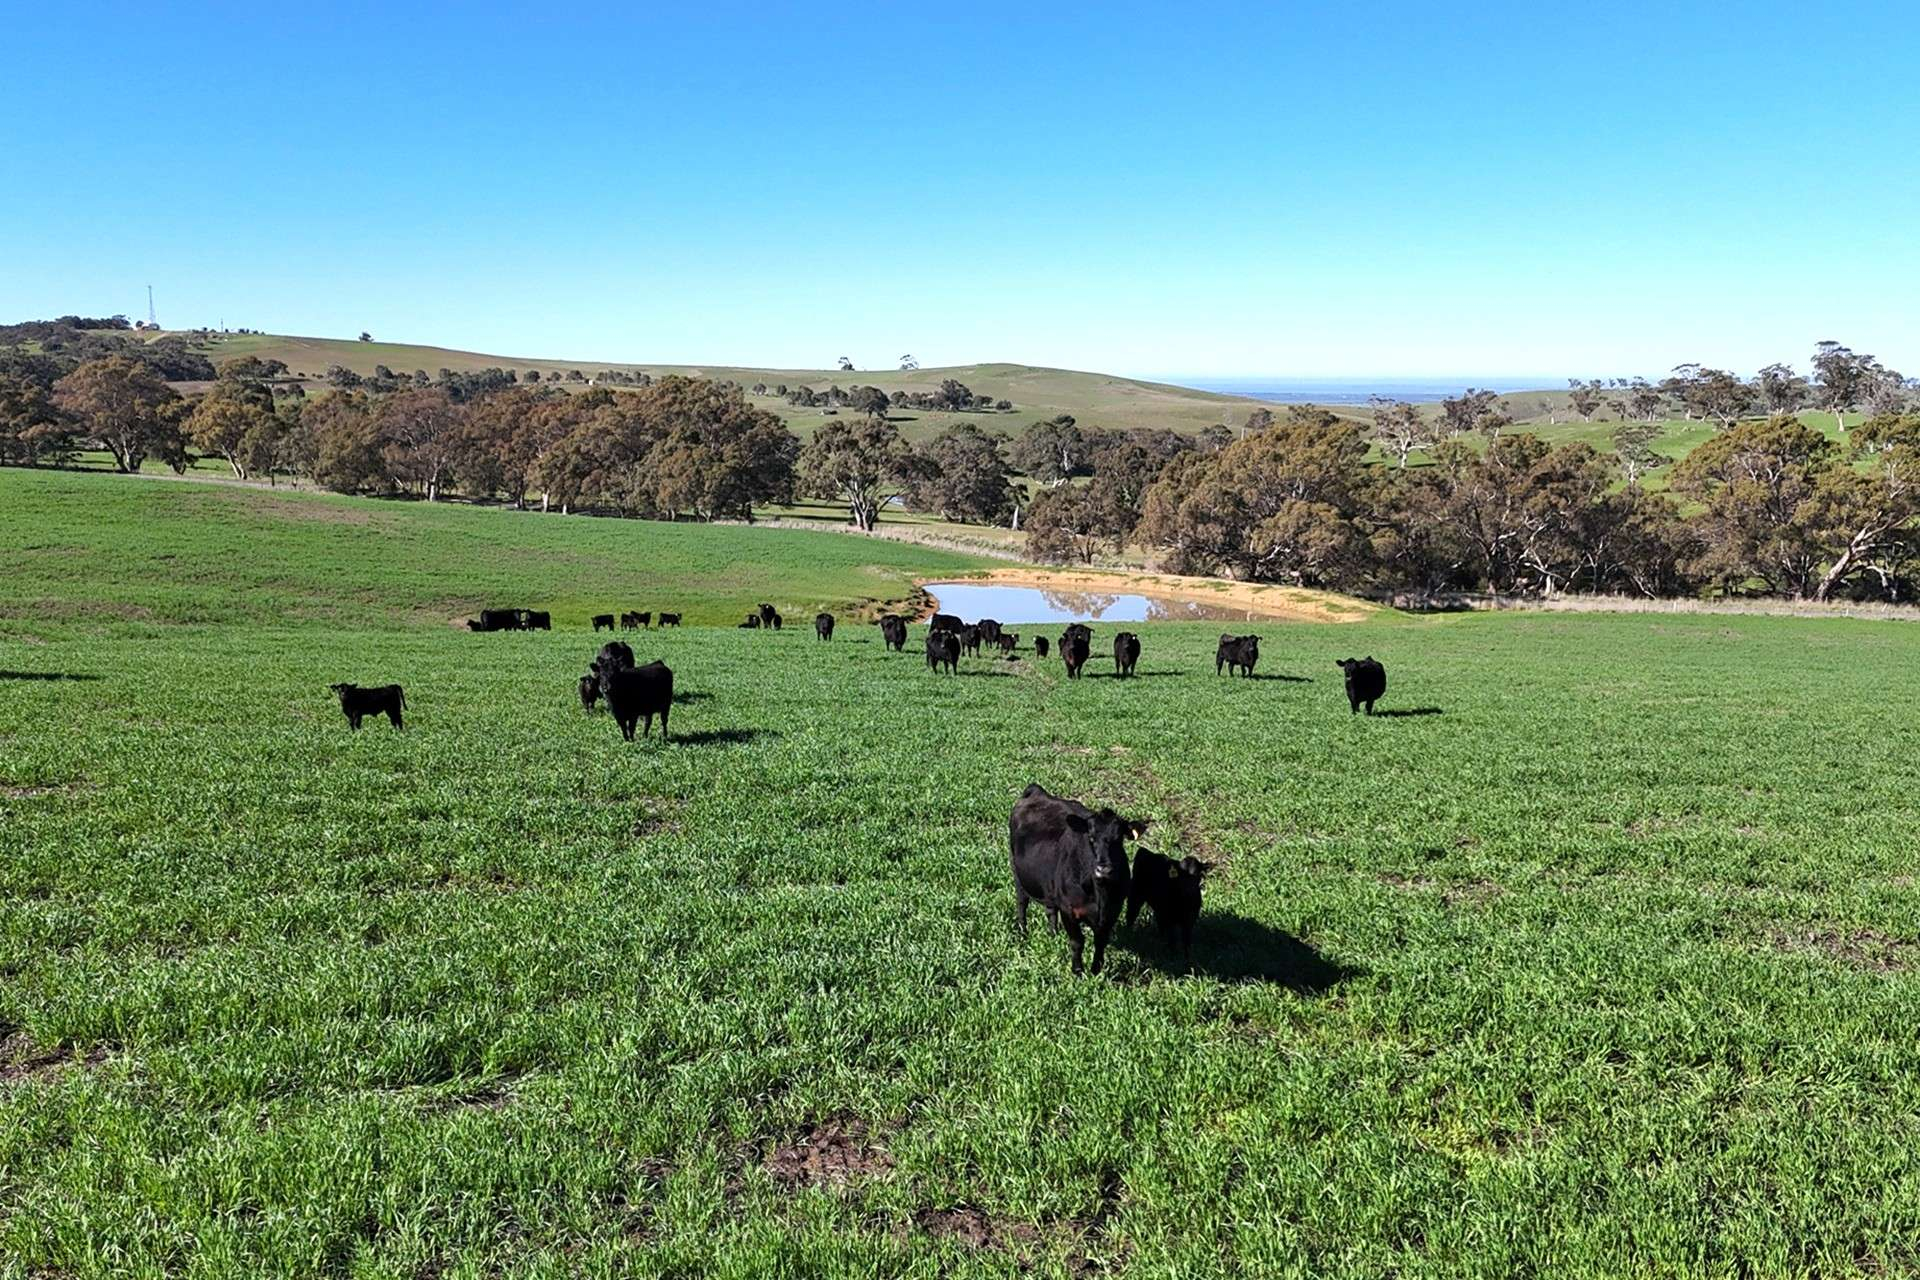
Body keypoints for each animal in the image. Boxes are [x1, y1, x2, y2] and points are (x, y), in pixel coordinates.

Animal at [1009, 783, 1146, 975]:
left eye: (1118, 840)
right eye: (1091, 838)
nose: (1103, 869)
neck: (1099, 894)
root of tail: (1037, 792)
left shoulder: (1113, 911)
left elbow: (1100, 942)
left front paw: (1096, 970)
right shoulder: (1069, 909)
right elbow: (1077, 942)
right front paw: (1078, 971)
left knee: (1050, 910)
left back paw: (1053, 934)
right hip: (1017, 872)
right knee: (1022, 903)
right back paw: (1022, 933)